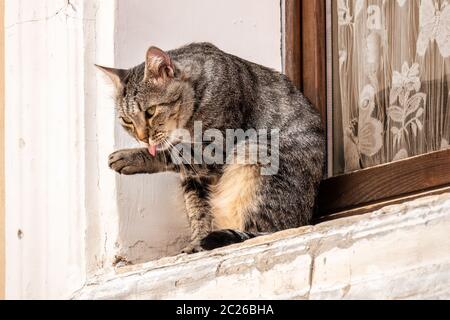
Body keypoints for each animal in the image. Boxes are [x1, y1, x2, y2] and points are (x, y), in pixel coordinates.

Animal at [97, 42, 324, 254]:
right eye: (127, 121)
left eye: (150, 112)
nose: (142, 138)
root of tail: (306, 216)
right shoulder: (194, 179)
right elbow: (199, 212)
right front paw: (196, 243)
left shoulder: (217, 147)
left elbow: (173, 154)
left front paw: (130, 157)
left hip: (256, 151)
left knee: (271, 229)